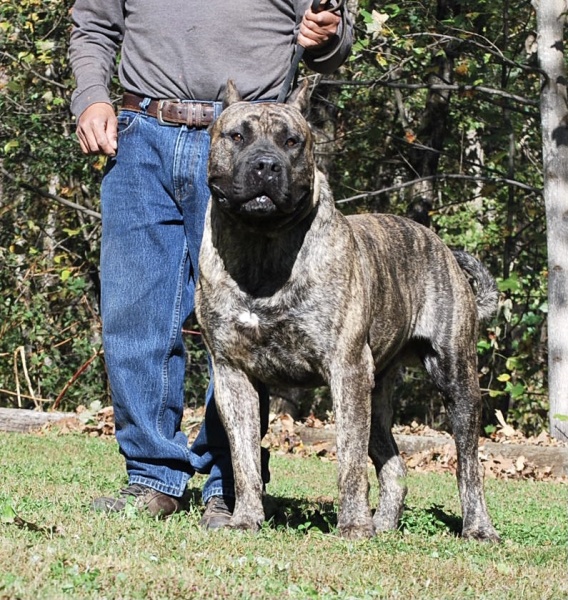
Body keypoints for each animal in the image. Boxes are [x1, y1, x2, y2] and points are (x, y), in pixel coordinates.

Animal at [197, 77, 500, 540]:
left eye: (292, 141)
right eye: (236, 137)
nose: (266, 165)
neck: (261, 247)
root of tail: (441, 247)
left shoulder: (347, 368)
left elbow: (349, 460)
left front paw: (353, 525)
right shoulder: (233, 373)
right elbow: (244, 459)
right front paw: (246, 519)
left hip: (455, 379)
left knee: (469, 464)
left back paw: (476, 528)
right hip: (377, 392)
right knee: (394, 467)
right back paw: (384, 525)